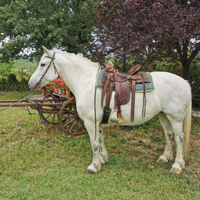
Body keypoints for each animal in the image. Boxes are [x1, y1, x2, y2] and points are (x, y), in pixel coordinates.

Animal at [28, 46, 191, 174]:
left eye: (42, 64)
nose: (30, 83)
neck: (88, 82)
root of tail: (184, 82)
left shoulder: (90, 121)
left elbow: (94, 143)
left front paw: (94, 166)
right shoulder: (98, 121)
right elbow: (100, 139)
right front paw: (103, 159)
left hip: (175, 118)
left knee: (179, 138)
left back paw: (177, 165)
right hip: (163, 115)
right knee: (169, 135)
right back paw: (165, 157)